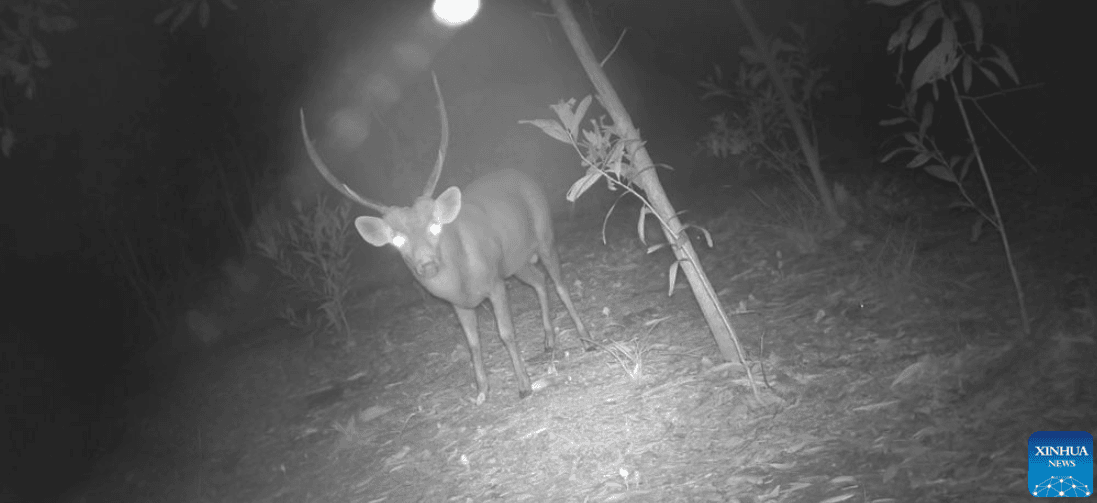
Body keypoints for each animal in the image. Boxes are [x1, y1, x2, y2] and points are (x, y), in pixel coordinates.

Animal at [299, 73, 593, 405]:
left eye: (435, 226)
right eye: (397, 240)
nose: (426, 264)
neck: (463, 275)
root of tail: (522, 175)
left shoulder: (494, 282)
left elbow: (505, 333)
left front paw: (524, 385)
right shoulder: (459, 304)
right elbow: (473, 343)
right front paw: (481, 391)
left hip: (543, 234)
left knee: (559, 282)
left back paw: (585, 338)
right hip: (514, 261)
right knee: (539, 281)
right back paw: (549, 340)